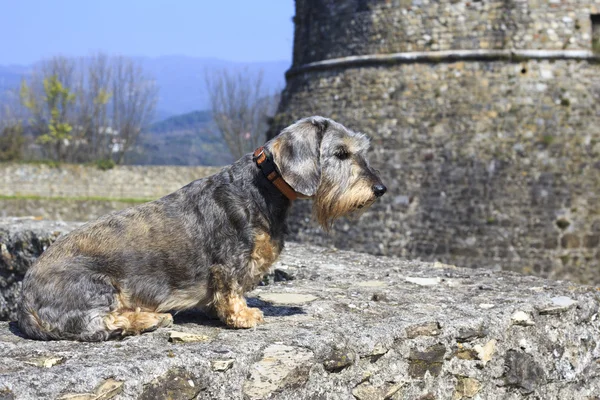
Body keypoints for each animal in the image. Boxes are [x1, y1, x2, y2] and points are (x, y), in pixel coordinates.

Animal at [18, 115, 386, 340]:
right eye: (341, 153)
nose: (379, 189)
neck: (261, 187)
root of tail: (24, 302)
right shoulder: (230, 263)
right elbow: (231, 291)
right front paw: (244, 316)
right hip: (96, 286)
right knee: (100, 323)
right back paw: (148, 318)